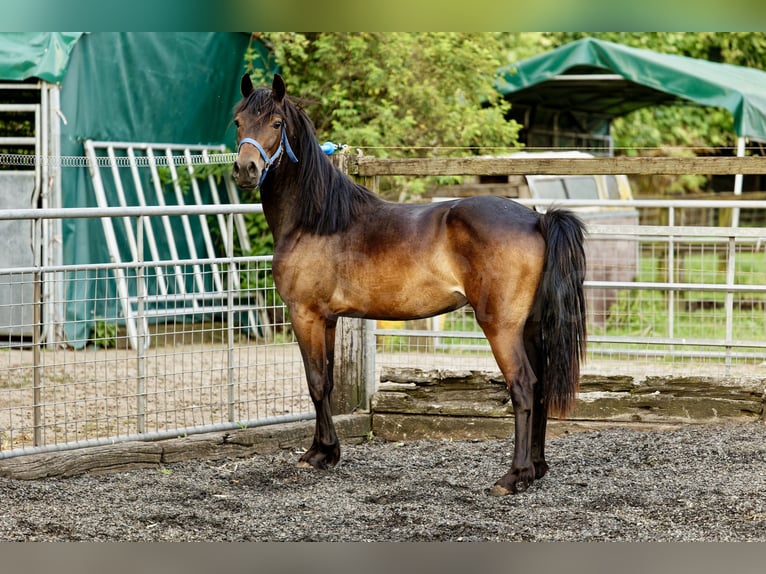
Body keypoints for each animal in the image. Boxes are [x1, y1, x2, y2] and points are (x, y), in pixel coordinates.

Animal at [232, 74, 588, 498]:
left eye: (276, 123)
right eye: (238, 122)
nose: (246, 169)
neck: (316, 220)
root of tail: (537, 219)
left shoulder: (306, 315)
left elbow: (316, 383)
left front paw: (318, 454)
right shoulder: (329, 319)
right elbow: (329, 382)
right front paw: (327, 451)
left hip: (501, 327)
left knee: (523, 386)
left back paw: (513, 476)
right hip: (530, 327)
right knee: (541, 386)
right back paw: (536, 468)